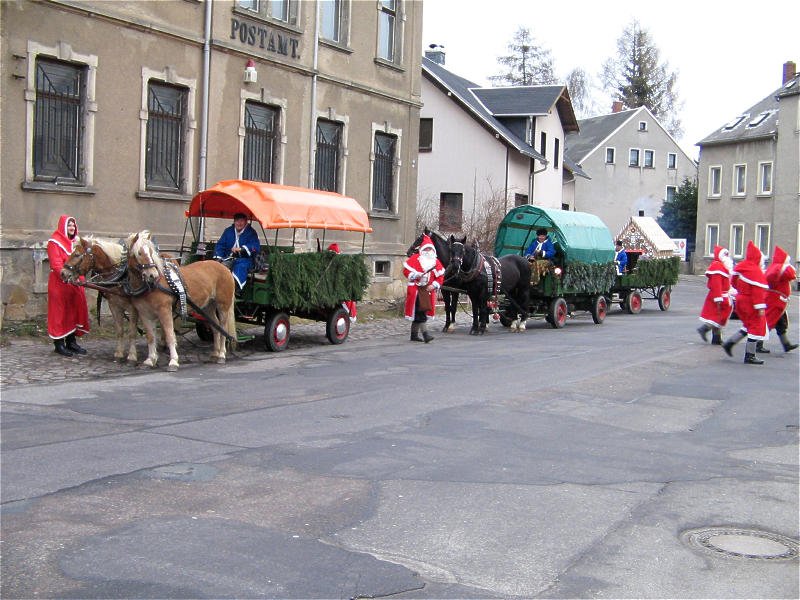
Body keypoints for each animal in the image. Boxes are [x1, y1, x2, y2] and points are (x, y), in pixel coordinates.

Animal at [126, 230, 236, 370]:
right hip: (208, 307)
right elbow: (150, 337)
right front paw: (150, 360)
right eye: (139, 253)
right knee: (215, 326)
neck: (153, 285)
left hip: (223, 305)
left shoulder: (165, 311)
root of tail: (224, 267)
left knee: (223, 327)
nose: (152, 275)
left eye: (151, 252)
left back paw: (222, 354)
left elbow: (169, 335)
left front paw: (173, 361)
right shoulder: (145, 314)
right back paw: (215, 354)